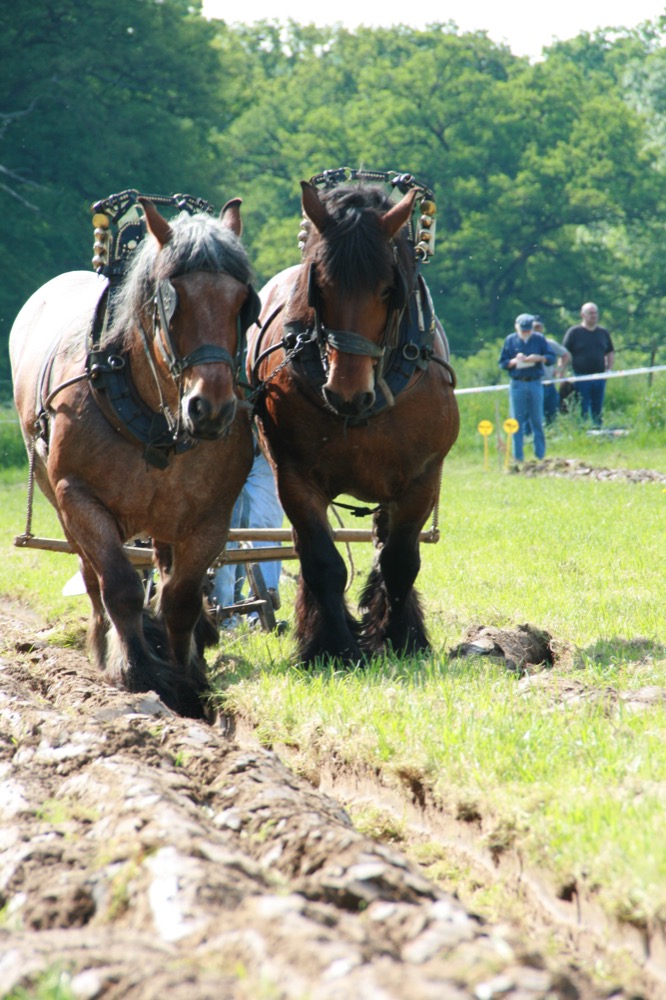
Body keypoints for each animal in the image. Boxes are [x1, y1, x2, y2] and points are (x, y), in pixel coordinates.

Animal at [11, 193, 260, 720]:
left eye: (241, 302)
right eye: (171, 300)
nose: (211, 408)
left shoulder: (210, 517)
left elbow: (181, 597)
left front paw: (188, 679)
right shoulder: (79, 498)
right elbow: (120, 585)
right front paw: (136, 670)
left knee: (165, 572)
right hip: (62, 503)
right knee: (93, 577)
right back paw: (107, 642)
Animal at [246, 170, 460, 664]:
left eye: (388, 288)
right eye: (319, 287)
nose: (346, 393)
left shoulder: (422, 477)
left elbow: (400, 560)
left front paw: (401, 638)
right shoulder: (294, 477)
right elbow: (322, 562)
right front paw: (332, 647)